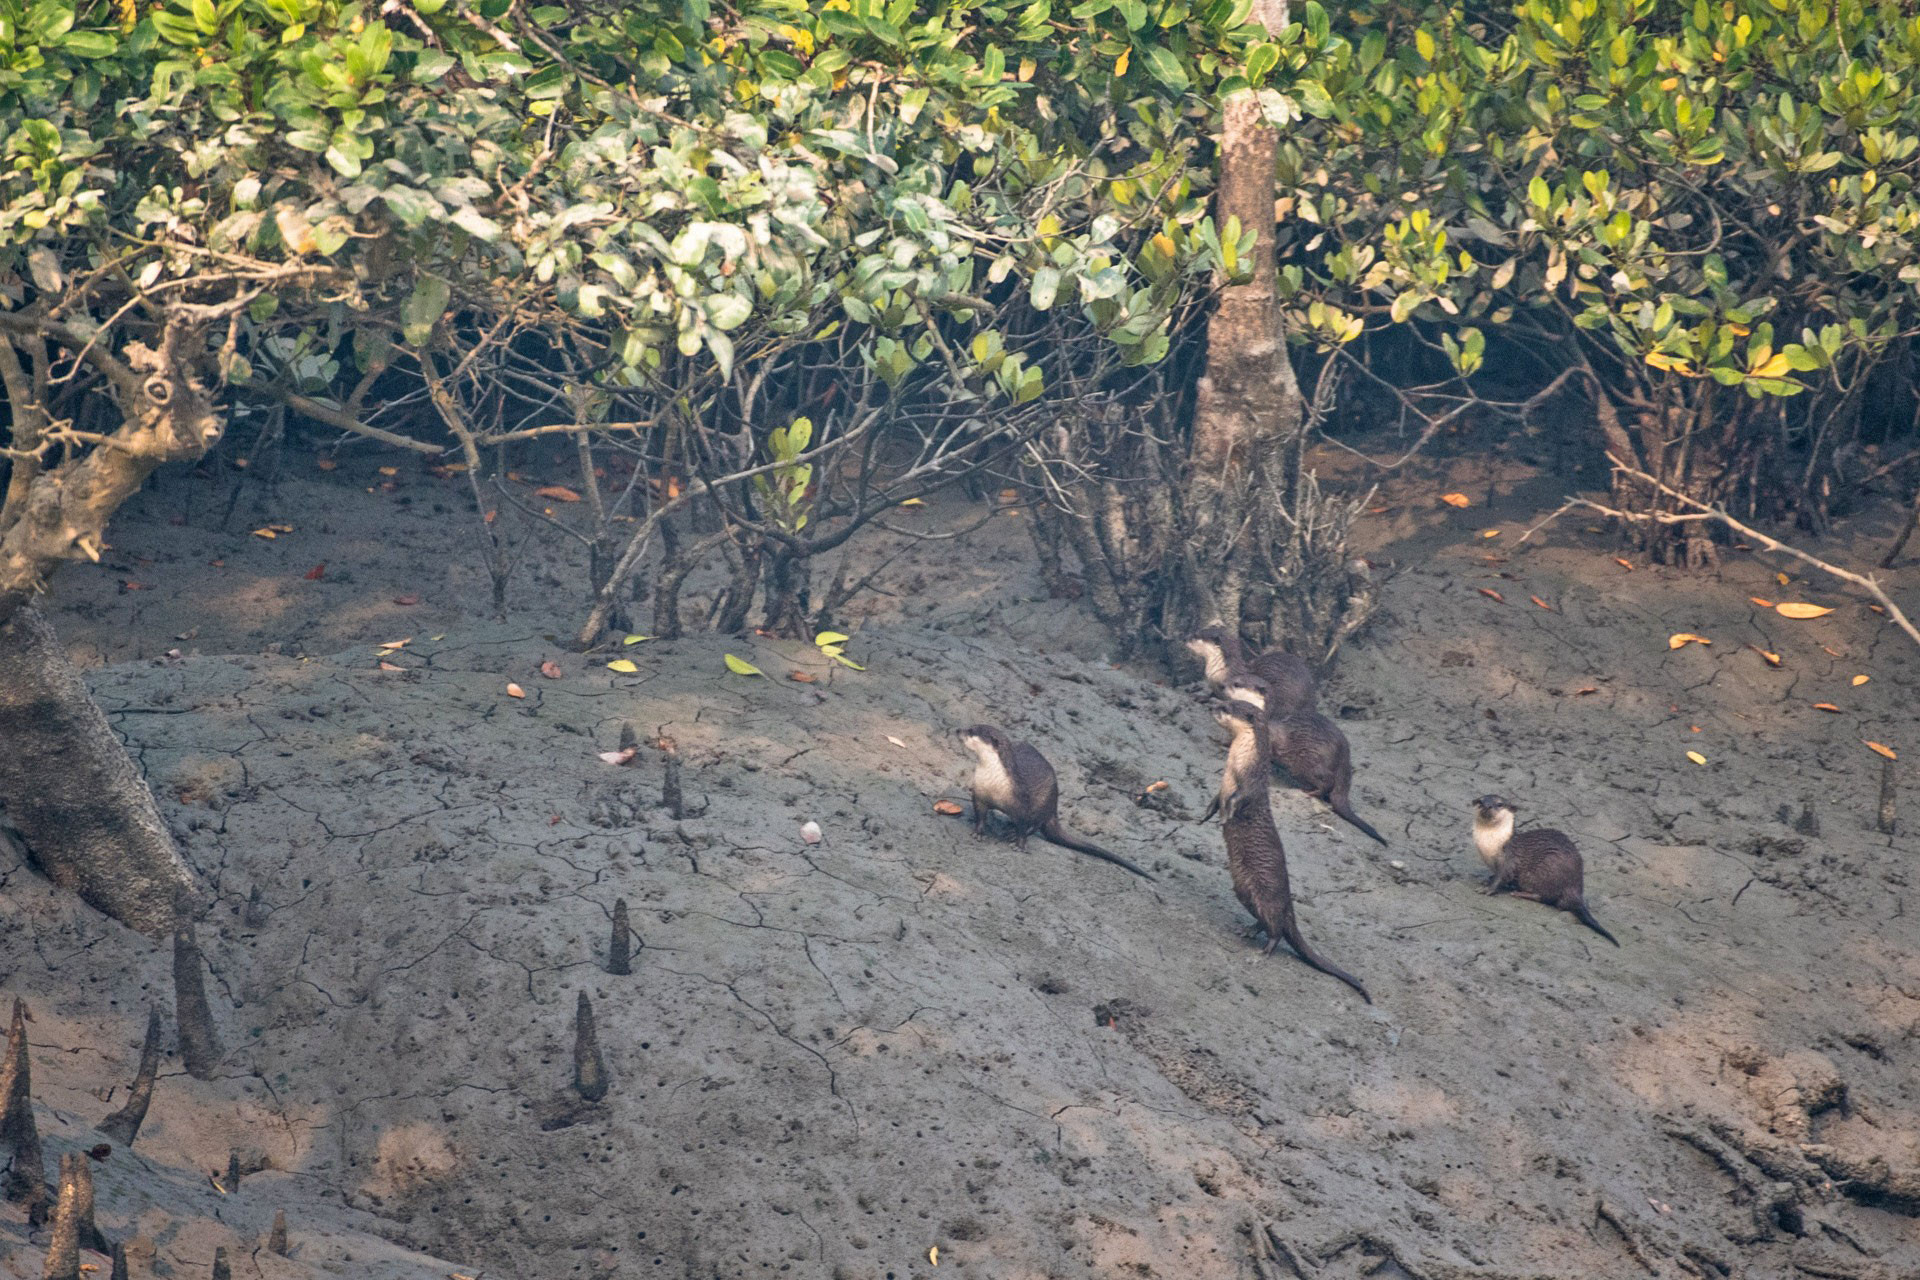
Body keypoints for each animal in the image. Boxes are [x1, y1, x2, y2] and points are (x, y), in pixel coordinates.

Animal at [956, 726, 1155, 881]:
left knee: (1036, 824)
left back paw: (1012, 833)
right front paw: (978, 832)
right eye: (969, 726)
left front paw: (1019, 845)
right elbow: (980, 814)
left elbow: (1023, 824)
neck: (995, 783)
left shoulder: (1021, 802)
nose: (958, 730)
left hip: (1043, 802)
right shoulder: (980, 794)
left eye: (972, 731)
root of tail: (1054, 805)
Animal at [1185, 625, 1316, 717]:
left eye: (1196, 635)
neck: (1221, 670)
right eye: (1197, 630)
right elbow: (1210, 693)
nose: (1186, 637)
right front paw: (1199, 695)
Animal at [1205, 691, 1370, 1001]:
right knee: (1266, 921)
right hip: (1244, 889)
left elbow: (1238, 800)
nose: (1213, 705)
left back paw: (1264, 951)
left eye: (1228, 708)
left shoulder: (1250, 784)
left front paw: (1226, 815)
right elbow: (1215, 798)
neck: (1237, 763)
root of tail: (1288, 905)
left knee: (1277, 929)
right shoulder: (1224, 783)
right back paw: (1247, 931)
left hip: (1266, 895)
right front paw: (1207, 814)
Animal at [1221, 679, 1388, 848]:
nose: (1222, 686)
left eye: (1236, 684)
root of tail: (1344, 752)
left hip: (1309, 762)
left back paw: (1312, 792)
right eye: (1234, 679)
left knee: (1327, 780)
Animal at [1471, 795, 1619, 946]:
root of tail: (1575, 888)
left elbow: (1502, 877)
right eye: (1481, 801)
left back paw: (1519, 893)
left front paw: (1488, 889)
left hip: (1545, 870)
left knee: (1545, 897)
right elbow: (1495, 875)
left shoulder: (1509, 859)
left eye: (1499, 804)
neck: (1489, 847)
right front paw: (1486, 880)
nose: (1487, 806)